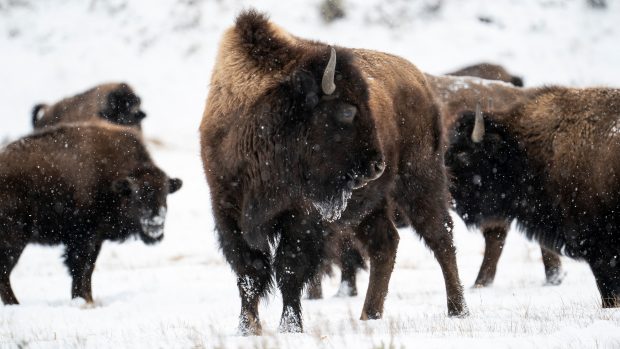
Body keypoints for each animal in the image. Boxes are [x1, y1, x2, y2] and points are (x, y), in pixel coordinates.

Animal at [0, 122, 183, 304]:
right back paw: (15, 303)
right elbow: (80, 268)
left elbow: (88, 269)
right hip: (15, 240)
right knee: (5, 272)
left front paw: (87, 299)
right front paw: (84, 300)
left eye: (165, 194)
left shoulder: (96, 240)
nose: (156, 222)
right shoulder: (83, 239)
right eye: (136, 195)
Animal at [201, 9, 468, 334]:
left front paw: (290, 327)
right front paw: (247, 328)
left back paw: (457, 310)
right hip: (372, 205)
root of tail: (420, 80)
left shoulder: (302, 217)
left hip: (419, 182)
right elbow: (249, 273)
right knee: (385, 244)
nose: (376, 166)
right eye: (346, 111)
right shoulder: (228, 212)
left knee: (441, 238)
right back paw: (369, 314)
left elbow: (289, 270)